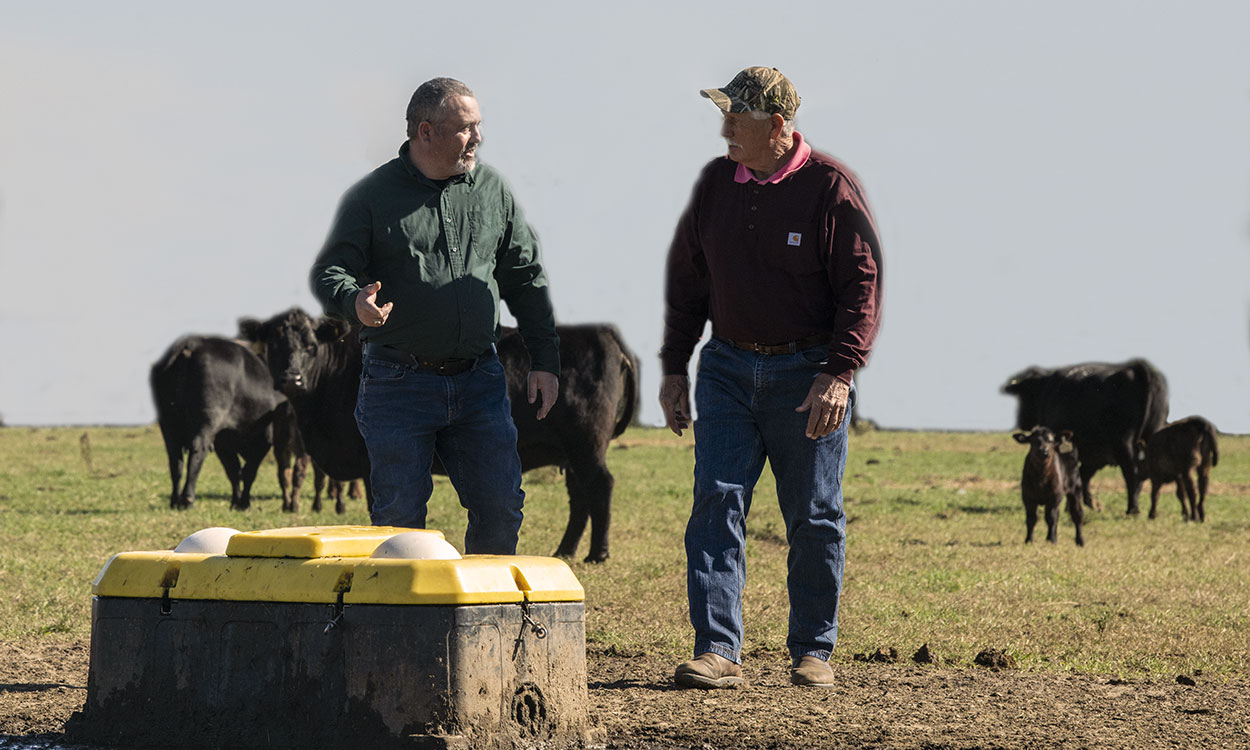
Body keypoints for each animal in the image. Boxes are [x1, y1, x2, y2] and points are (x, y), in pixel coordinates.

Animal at [150, 337, 286, 510]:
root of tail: (193, 343)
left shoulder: (223, 442)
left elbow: (234, 471)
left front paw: (235, 502)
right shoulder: (264, 438)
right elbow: (249, 472)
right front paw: (244, 503)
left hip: (168, 423)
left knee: (175, 459)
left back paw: (175, 500)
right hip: (206, 421)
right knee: (197, 450)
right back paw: (188, 499)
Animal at [238, 307, 640, 560]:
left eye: (310, 345)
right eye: (275, 344)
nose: (292, 377)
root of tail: (603, 331)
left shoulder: (371, 458)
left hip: (587, 442)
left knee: (600, 486)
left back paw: (598, 553)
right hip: (571, 452)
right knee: (580, 496)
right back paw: (565, 550)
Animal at [1000, 360, 1165, 515]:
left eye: (1022, 395)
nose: (1021, 421)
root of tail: (1135, 368)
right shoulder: (1095, 455)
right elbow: (1082, 475)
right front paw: (1086, 504)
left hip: (1123, 444)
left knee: (1131, 472)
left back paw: (1132, 508)